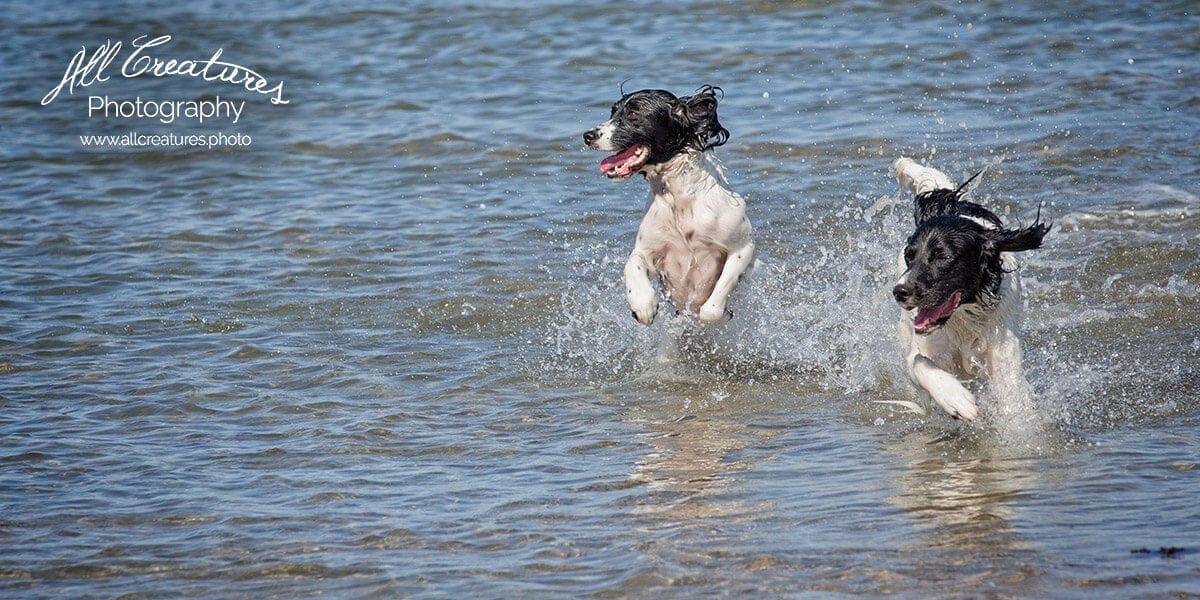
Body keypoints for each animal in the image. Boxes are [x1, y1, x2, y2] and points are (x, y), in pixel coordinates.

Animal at [578, 85, 748, 324]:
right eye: (613, 111)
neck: (680, 202)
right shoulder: (647, 250)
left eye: (633, 113)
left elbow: (711, 310)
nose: (588, 135)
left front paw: (720, 313)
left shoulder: (743, 246)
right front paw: (643, 304)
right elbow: (632, 265)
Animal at [892, 159, 1051, 422]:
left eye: (943, 257)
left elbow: (1011, 401)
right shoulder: (925, 347)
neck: (964, 317)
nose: (899, 292)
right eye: (909, 255)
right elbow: (919, 363)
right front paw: (956, 399)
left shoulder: (1003, 355)